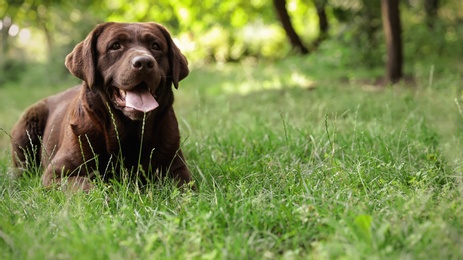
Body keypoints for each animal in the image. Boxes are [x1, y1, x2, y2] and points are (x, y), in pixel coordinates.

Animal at [10, 22, 194, 191]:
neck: (129, 131)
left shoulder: (176, 167)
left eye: (155, 46)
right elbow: (89, 186)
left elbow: (186, 188)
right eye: (115, 46)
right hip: (27, 126)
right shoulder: (57, 173)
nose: (144, 62)